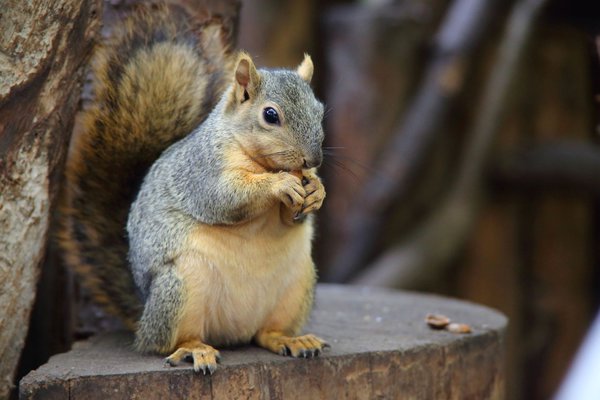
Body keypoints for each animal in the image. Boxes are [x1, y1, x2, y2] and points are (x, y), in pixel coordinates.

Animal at [58, 3, 328, 374]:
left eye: (320, 111)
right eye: (270, 115)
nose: (312, 158)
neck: (259, 160)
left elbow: (293, 217)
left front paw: (317, 191)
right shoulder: (202, 171)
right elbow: (225, 198)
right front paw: (279, 184)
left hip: (298, 285)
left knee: (266, 333)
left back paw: (291, 340)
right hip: (180, 288)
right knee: (167, 341)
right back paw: (193, 350)